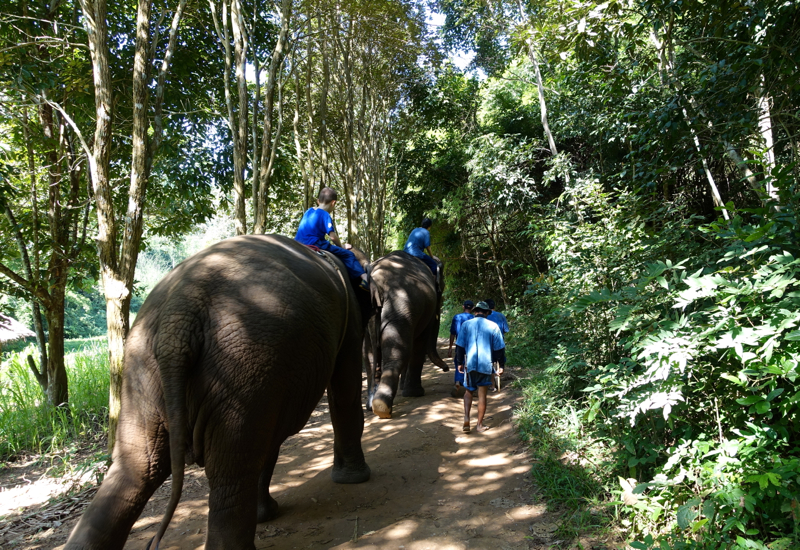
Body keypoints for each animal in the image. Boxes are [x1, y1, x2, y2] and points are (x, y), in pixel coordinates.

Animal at [65, 236, 372, 550]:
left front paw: (266, 514)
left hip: (146, 370)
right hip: (242, 365)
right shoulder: (347, 321)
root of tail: (179, 315)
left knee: (137, 468)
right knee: (231, 470)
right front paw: (355, 479)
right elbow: (344, 392)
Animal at [354, 252, 450, 420]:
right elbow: (419, 344)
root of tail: (374, 283)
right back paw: (382, 406)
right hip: (399, 307)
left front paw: (403, 387)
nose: (446, 369)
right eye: (442, 287)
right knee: (398, 352)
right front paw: (413, 393)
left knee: (368, 354)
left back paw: (371, 405)